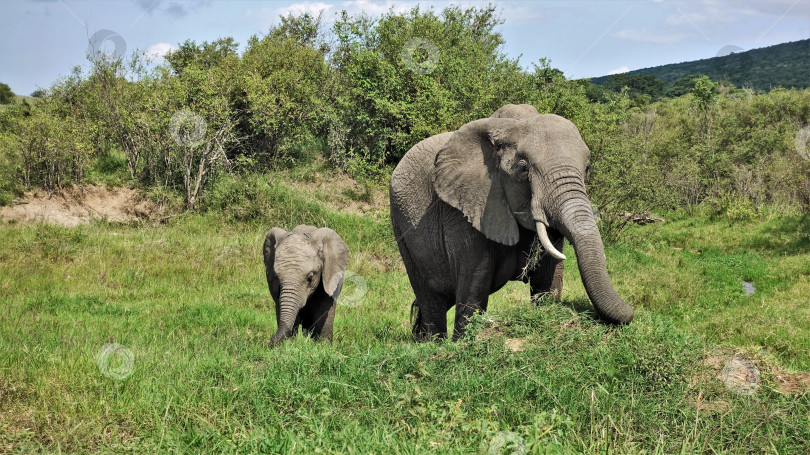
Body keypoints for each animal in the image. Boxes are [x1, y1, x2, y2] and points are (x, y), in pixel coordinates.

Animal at [390, 105, 632, 340]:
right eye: (523, 170)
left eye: (588, 168)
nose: (631, 312)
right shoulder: (463, 208)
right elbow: (476, 278)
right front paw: (465, 343)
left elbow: (549, 276)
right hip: (401, 224)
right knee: (431, 300)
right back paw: (433, 345)